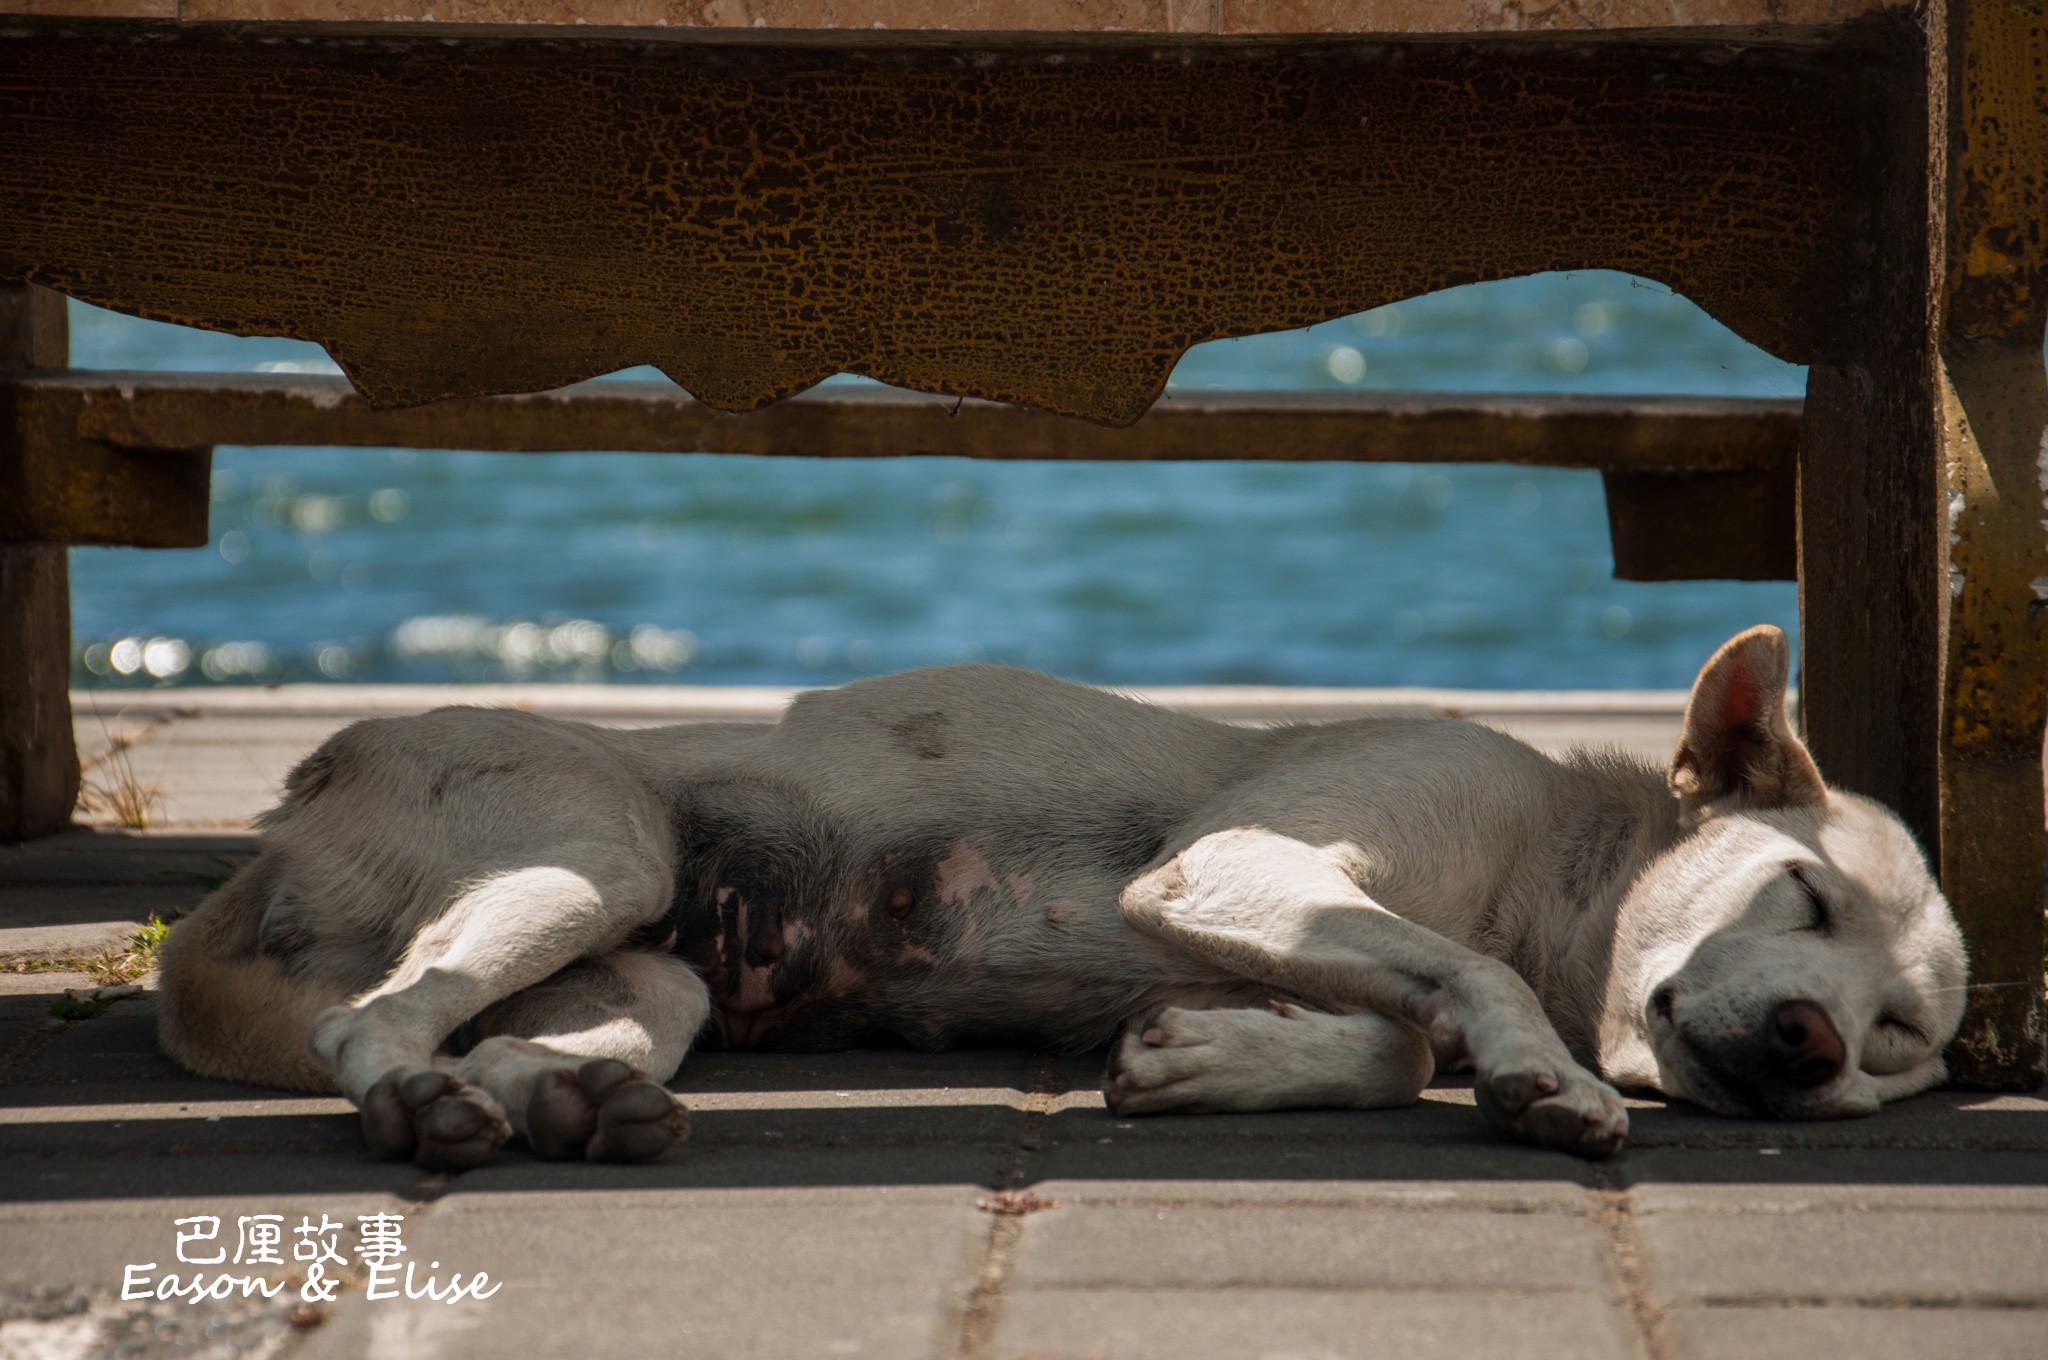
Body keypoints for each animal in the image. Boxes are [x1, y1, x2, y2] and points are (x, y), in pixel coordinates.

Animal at [159, 630, 1966, 1171]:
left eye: (1897, 1041)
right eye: (1799, 895)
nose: (1808, 1043)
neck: (1544, 869)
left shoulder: (1272, 916)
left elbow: (1396, 1032)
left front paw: (1204, 1061)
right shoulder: (1244, 869)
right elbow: (1451, 999)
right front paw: (1536, 1079)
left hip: (650, 967)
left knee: (524, 1037)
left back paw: (570, 1103)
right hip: (596, 853)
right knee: (371, 1024)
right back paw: (424, 1109)